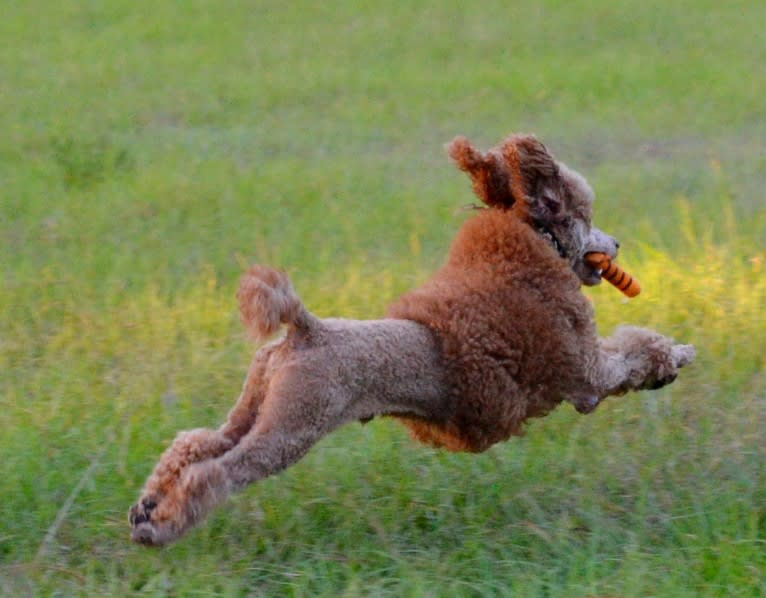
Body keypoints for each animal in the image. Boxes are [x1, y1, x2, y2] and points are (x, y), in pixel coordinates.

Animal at [127, 134, 696, 548]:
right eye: (585, 218)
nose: (615, 244)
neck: (531, 249)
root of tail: (306, 327)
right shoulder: (584, 374)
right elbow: (634, 354)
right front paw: (675, 358)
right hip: (294, 425)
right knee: (218, 471)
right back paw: (162, 527)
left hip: (258, 403)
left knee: (197, 442)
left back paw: (148, 506)